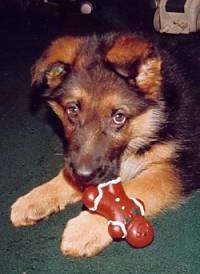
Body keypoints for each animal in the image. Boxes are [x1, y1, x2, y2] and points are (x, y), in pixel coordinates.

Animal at [10, 32, 198, 256]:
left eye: (118, 117)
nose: (83, 176)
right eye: (72, 110)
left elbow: (136, 187)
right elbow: (67, 173)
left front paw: (87, 227)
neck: (157, 115)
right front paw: (37, 198)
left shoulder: (183, 166)